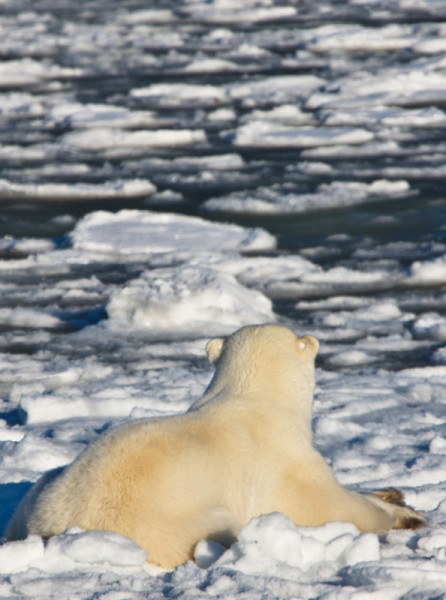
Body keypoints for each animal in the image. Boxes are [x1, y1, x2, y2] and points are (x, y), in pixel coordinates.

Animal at [6, 324, 426, 568]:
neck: (257, 397)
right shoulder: (281, 461)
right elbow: (325, 507)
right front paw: (405, 514)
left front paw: (390, 492)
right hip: (171, 522)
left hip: (40, 493)